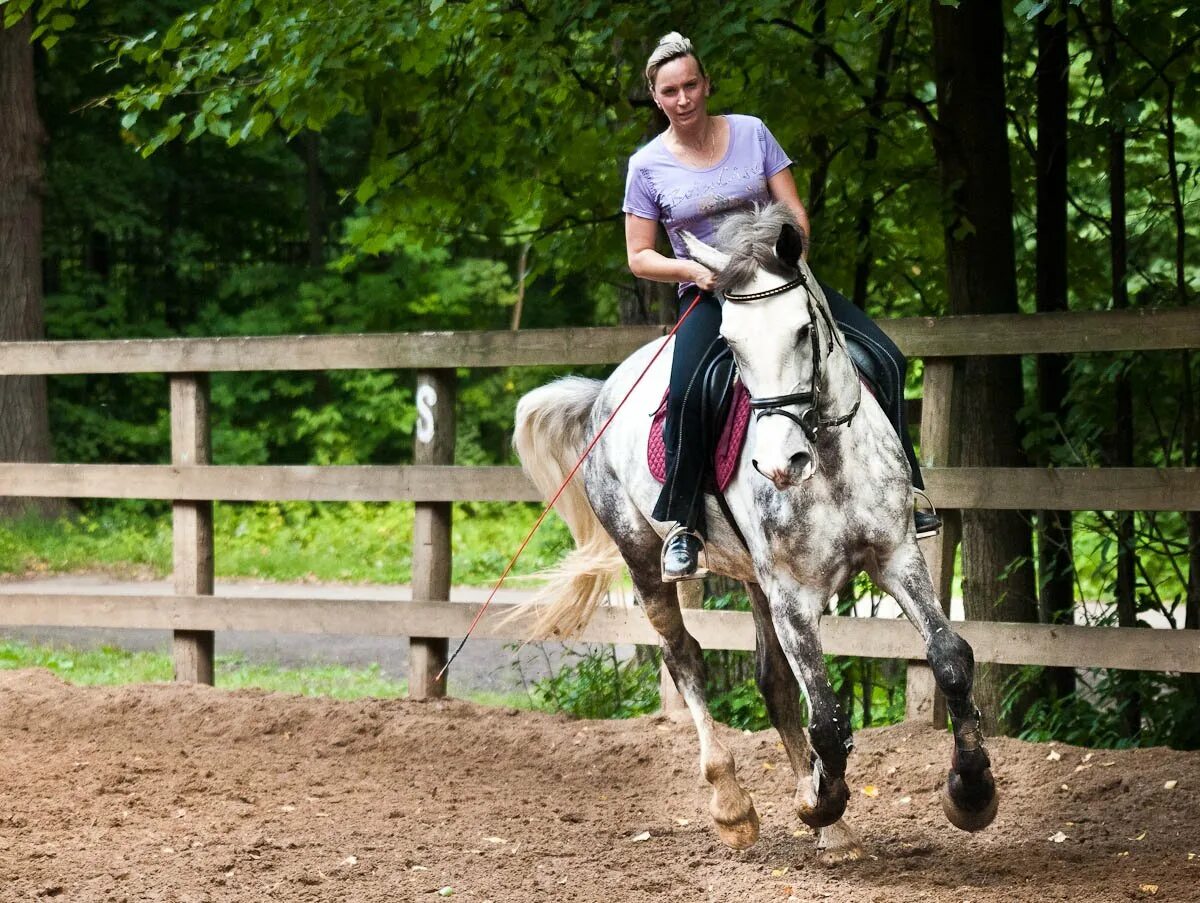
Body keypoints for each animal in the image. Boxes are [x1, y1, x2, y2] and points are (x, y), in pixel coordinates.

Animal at [513, 204, 993, 859]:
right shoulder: (794, 593)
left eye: (802, 330)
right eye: (732, 343)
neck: (828, 461)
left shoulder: (896, 557)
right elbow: (826, 715)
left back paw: (832, 828)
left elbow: (948, 658)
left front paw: (970, 794)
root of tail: (606, 389)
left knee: (772, 681)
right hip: (645, 558)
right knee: (684, 656)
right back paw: (734, 806)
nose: (779, 463)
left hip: (753, 578)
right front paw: (819, 801)